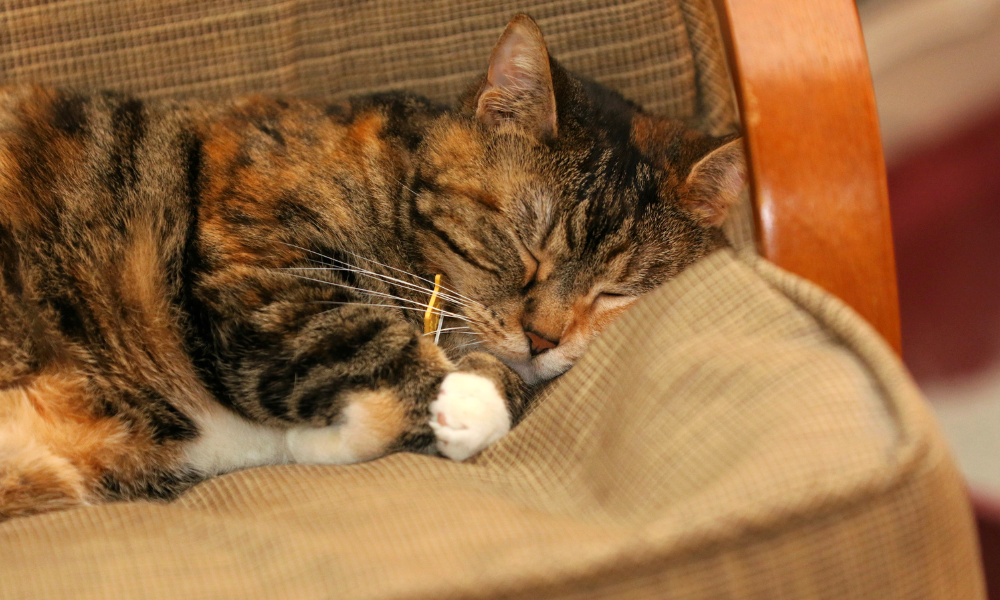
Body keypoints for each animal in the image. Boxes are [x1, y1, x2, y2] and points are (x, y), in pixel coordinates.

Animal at [0, 14, 744, 520]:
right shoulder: (255, 264)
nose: (543, 337)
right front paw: (459, 399)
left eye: (617, 292)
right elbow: (361, 335)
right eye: (522, 245)